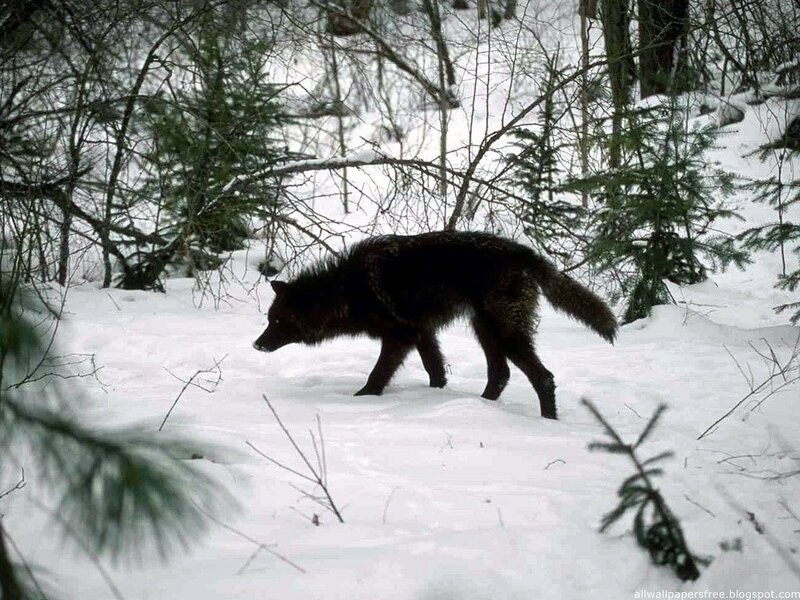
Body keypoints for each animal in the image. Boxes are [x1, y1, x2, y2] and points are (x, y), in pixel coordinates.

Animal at [253, 231, 617, 419]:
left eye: (278, 321)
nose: (257, 344)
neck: (347, 289)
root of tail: (525, 253)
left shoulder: (399, 337)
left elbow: (377, 374)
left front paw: (362, 400)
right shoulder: (422, 333)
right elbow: (435, 370)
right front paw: (435, 396)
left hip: (504, 333)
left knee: (543, 377)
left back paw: (548, 422)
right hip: (484, 330)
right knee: (500, 374)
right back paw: (480, 406)